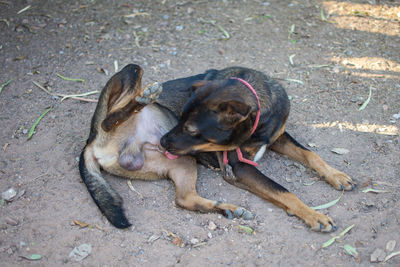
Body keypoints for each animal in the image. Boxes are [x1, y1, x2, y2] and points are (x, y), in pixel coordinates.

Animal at [79, 63, 252, 229]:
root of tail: (90, 141)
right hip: (131, 72)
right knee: (107, 121)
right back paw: (144, 98)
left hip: (182, 160)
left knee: (184, 199)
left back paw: (229, 209)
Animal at [161, 66, 354, 232]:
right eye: (179, 119)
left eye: (191, 130)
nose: (162, 141)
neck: (258, 124)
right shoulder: (240, 167)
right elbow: (283, 191)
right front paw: (313, 215)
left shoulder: (277, 136)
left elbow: (310, 154)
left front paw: (335, 175)